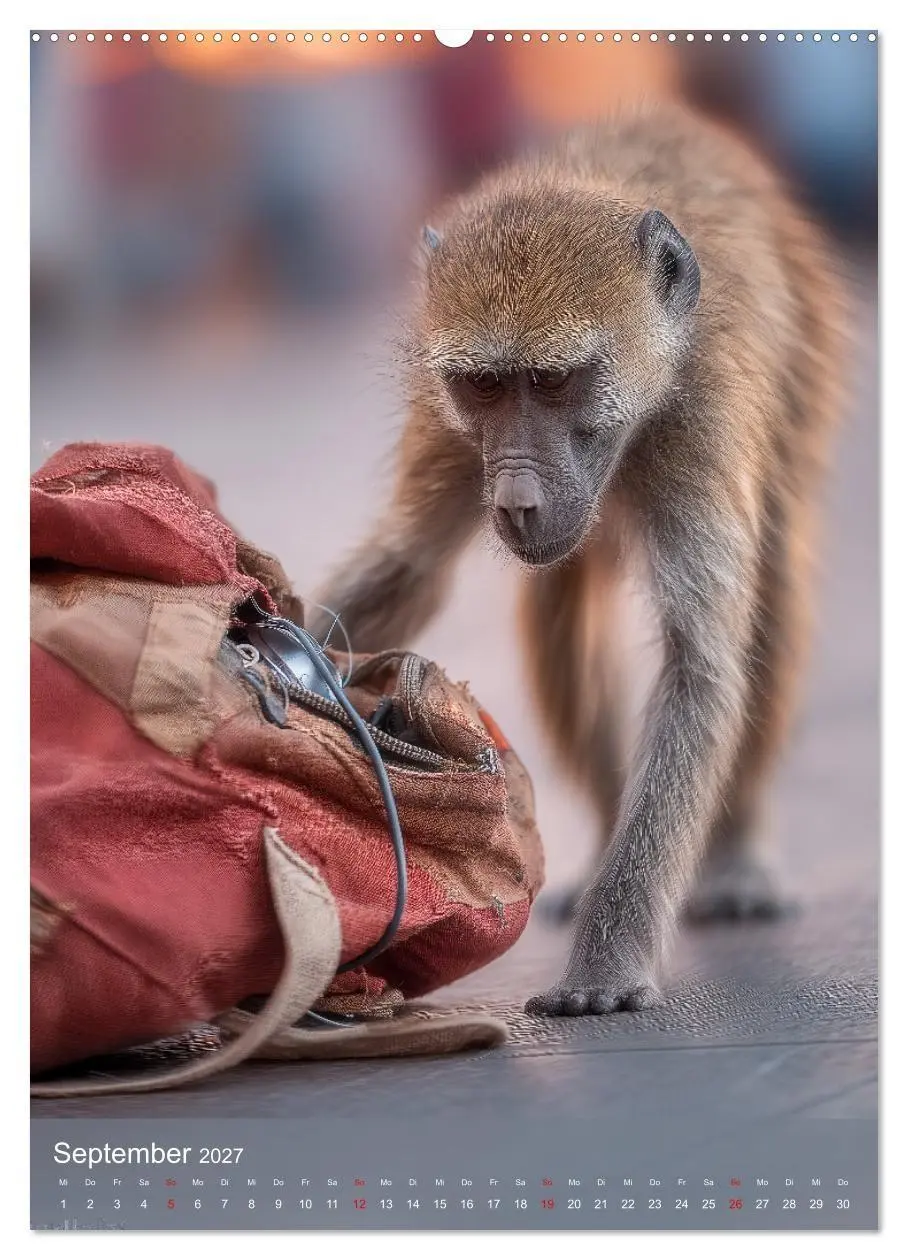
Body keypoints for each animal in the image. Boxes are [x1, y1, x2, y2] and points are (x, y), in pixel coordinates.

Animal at [311, 101, 849, 1017]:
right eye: (488, 386)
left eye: (555, 380)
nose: (517, 500)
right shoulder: (450, 428)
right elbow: (407, 570)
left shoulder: (702, 414)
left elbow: (700, 665)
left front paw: (607, 962)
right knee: (560, 609)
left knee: (769, 594)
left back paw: (737, 854)